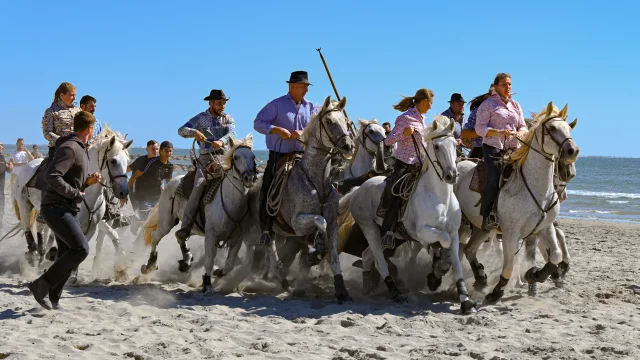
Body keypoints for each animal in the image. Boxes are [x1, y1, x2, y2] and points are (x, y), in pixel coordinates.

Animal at [12, 129, 131, 272]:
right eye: (113, 161)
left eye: (128, 161)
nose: (123, 192)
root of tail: (28, 165)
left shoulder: (97, 223)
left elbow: (107, 237)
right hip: (24, 204)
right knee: (27, 226)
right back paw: (34, 253)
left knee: (41, 227)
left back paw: (42, 251)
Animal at [142, 134, 258, 284]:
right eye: (236, 157)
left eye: (253, 157)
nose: (250, 177)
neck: (230, 203)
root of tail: (172, 182)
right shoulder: (210, 236)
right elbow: (209, 261)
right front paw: (207, 283)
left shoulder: (237, 238)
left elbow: (229, 265)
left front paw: (217, 271)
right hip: (166, 222)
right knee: (156, 236)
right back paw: (150, 265)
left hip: (192, 227)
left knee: (179, 235)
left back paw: (186, 260)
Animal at [340, 115, 480, 312]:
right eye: (437, 146)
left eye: (454, 144)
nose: (452, 175)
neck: (440, 198)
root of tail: (357, 190)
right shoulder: (422, 232)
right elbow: (442, 241)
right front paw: (438, 266)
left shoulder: (454, 232)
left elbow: (457, 264)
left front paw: (466, 300)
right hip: (369, 228)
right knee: (380, 261)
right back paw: (396, 293)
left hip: (386, 234)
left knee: (368, 256)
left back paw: (368, 285)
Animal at [452, 102, 576, 304]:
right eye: (551, 128)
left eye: (568, 128)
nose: (573, 151)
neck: (535, 189)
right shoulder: (511, 234)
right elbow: (509, 266)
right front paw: (497, 292)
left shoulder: (544, 227)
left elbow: (555, 254)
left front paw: (536, 275)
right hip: (463, 224)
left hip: (481, 227)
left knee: (469, 249)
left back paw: (480, 278)